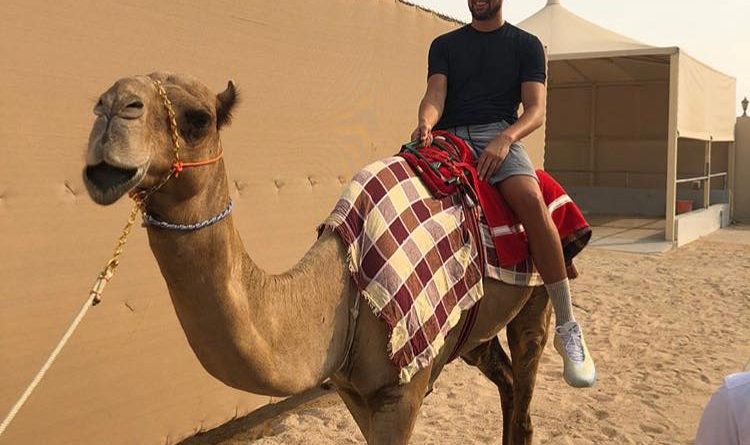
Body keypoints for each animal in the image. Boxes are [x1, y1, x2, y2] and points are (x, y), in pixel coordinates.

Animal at [82, 72, 552, 445]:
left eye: (198, 120)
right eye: (101, 101)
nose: (111, 106)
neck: (344, 291)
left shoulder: (402, 391)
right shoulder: (352, 390)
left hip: (537, 289)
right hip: (475, 332)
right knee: (508, 383)